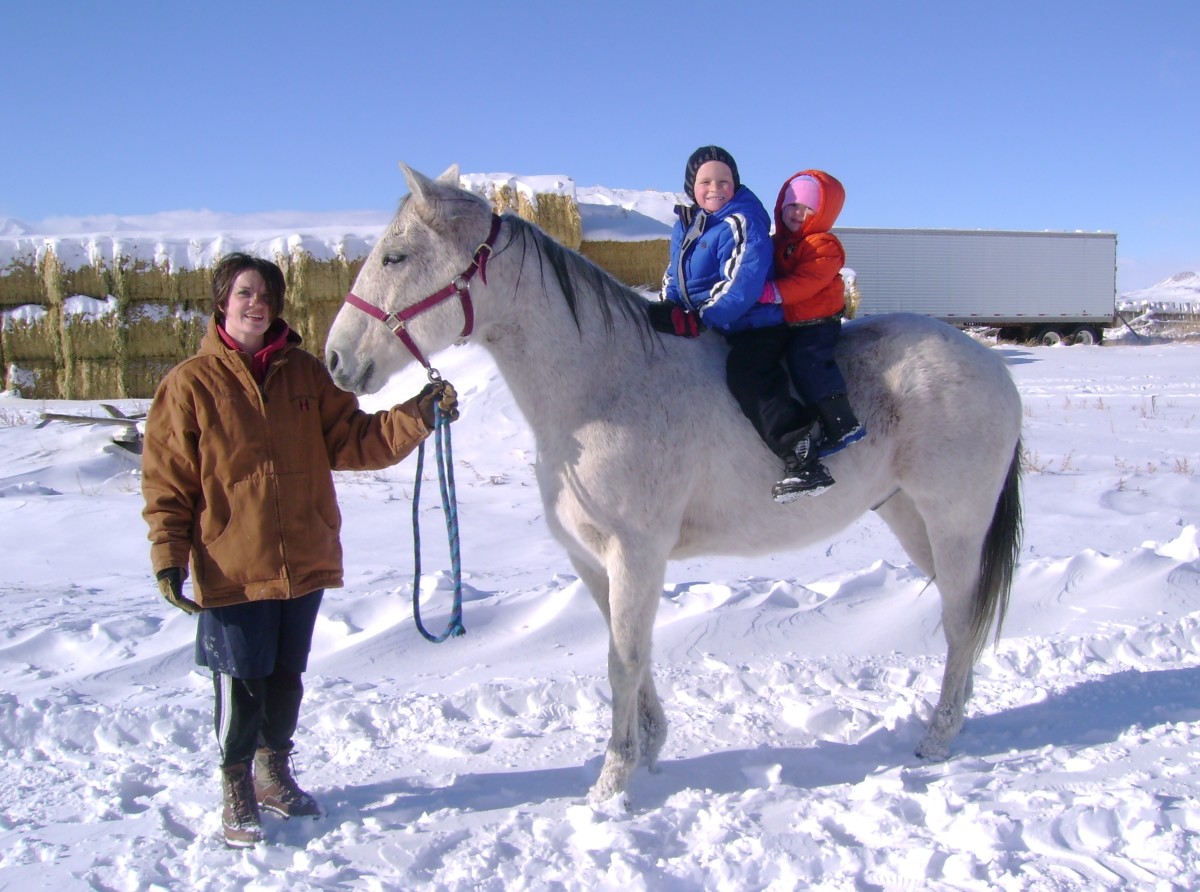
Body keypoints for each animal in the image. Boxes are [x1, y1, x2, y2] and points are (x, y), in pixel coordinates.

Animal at [326, 164, 1022, 806]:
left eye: (394, 256)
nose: (335, 360)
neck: (602, 389)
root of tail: (991, 366)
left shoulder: (637, 554)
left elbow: (623, 661)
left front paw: (611, 784)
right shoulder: (594, 560)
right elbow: (630, 654)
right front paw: (650, 748)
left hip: (954, 522)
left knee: (961, 621)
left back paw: (937, 739)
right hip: (909, 519)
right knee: (962, 621)